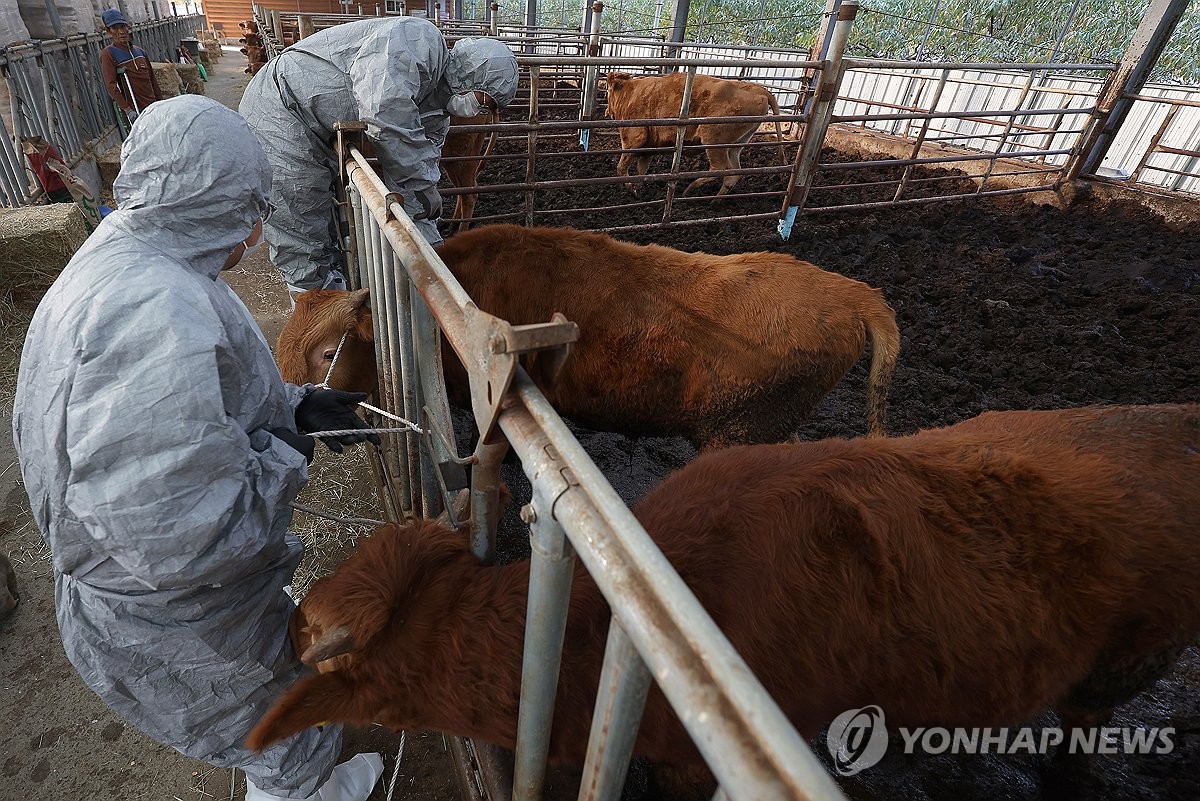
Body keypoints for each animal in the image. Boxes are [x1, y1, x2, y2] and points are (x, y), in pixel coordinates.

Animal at [600, 71, 787, 196]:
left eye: (608, 90)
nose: (606, 111)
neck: (630, 94)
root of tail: (759, 90)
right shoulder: (649, 149)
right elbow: (641, 171)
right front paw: (638, 190)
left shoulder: (633, 140)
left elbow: (621, 168)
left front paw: (631, 190)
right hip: (735, 145)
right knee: (733, 173)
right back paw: (715, 200)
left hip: (713, 140)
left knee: (719, 168)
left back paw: (690, 189)